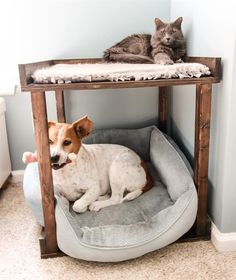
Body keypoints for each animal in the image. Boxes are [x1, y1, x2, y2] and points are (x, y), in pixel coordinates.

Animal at [23, 115, 153, 212]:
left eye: (67, 142)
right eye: (49, 141)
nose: (53, 158)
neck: (66, 171)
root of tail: (146, 169)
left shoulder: (94, 188)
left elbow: (77, 205)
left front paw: (83, 204)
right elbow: (64, 200)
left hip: (116, 168)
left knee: (116, 198)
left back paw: (96, 204)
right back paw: (101, 197)